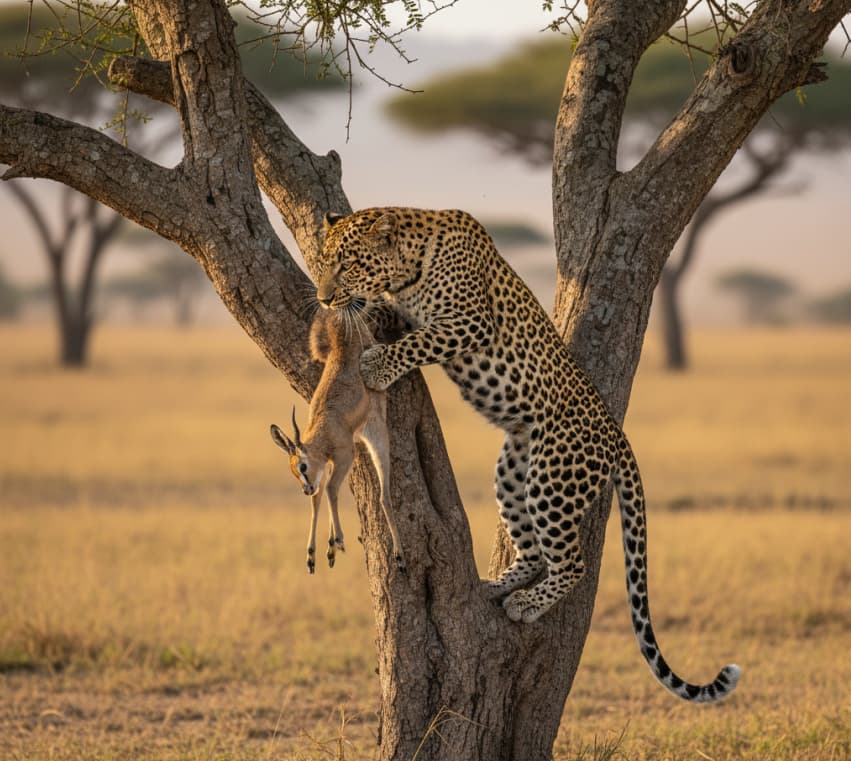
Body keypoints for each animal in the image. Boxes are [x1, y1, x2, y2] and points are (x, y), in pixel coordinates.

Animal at [270, 309, 405, 574]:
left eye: (302, 466)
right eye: (293, 471)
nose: (304, 489)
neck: (326, 427)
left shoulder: (345, 455)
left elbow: (330, 489)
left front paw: (339, 540)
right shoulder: (328, 465)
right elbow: (317, 500)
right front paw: (316, 554)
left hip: (377, 436)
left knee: (383, 495)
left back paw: (399, 554)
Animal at [315, 206, 741, 703]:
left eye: (347, 265)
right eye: (323, 263)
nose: (323, 298)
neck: (409, 265)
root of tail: (617, 435)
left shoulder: (469, 321)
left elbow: (419, 341)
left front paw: (378, 364)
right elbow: (388, 314)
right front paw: (365, 317)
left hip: (551, 479)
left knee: (572, 564)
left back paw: (525, 604)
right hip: (514, 470)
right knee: (535, 552)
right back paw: (494, 586)